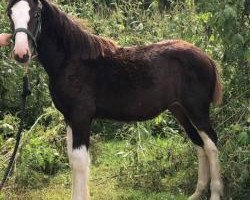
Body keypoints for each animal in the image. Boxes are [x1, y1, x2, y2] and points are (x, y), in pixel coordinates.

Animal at [7, 0, 223, 199]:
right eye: (10, 14)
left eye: (36, 14)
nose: (21, 53)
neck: (70, 61)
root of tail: (207, 58)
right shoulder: (69, 118)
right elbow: (74, 160)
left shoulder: (81, 117)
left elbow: (79, 161)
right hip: (180, 110)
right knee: (199, 144)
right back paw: (197, 193)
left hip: (197, 110)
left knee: (211, 144)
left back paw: (214, 193)